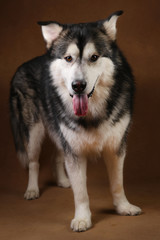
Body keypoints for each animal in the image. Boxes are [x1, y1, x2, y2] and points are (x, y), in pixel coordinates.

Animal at [9, 10, 141, 232]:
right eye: (68, 58)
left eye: (94, 57)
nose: (78, 85)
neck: (93, 113)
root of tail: (22, 66)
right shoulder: (75, 151)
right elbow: (81, 193)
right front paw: (82, 218)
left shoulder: (115, 147)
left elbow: (117, 184)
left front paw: (123, 207)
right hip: (34, 133)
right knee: (34, 162)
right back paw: (32, 189)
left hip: (60, 132)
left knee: (56, 156)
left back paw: (63, 180)